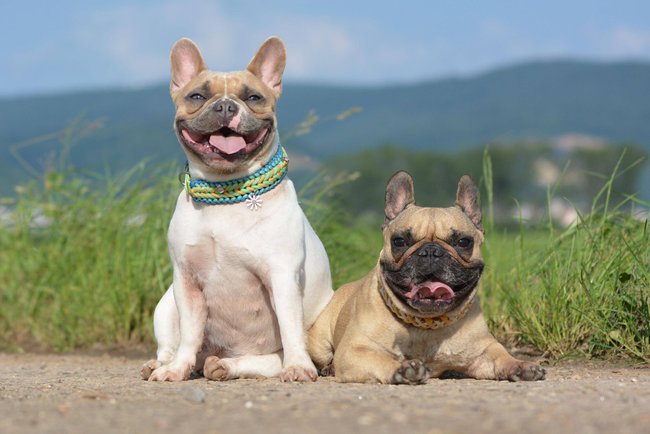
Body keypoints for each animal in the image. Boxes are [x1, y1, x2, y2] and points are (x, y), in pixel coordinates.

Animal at [144, 38, 332, 384]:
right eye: (197, 96)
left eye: (253, 97)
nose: (225, 106)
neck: (225, 193)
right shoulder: (186, 280)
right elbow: (189, 333)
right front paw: (176, 369)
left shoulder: (283, 275)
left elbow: (290, 327)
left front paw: (298, 366)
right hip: (164, 306)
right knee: (172, 345)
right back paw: (164, 364)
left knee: (266, 360)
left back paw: (225, 366)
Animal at [306, 172, 544, 384]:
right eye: (399, 241)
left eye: (463, 242)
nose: (431, 251)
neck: (425, 325)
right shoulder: (355, 349)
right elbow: (379, 359)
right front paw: (402, 369)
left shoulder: (484, 350)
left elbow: (502, 356)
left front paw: (521, 365)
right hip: (320, 343)